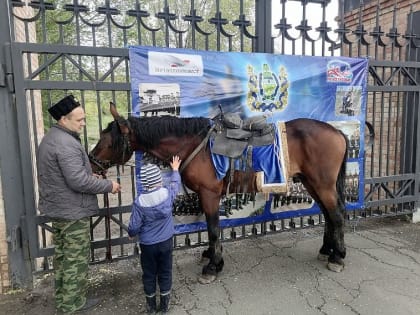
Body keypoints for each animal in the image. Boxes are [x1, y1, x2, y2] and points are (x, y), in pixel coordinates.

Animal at [90, 103, 350, 284]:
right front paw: (211, 256)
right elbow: (210, 229)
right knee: (329, 215)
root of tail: (337, 132)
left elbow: (214, 229)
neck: (194, 145)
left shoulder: (209, 195)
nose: (92, 163)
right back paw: (327, 250)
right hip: (312, 183)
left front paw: (213, 266)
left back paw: (338, 257)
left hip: (322, 184)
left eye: (107, 140)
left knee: (337, 215)